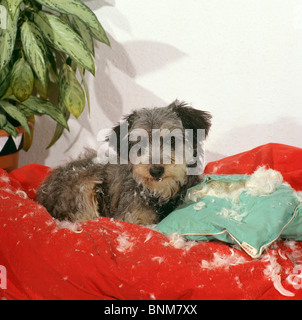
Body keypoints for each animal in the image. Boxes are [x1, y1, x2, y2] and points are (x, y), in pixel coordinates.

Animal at [36, 100, 211, 225]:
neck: (160, 195)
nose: (156, 170)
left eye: (172, 140)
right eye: (140, 144)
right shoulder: (132, 218)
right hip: (84, 187)